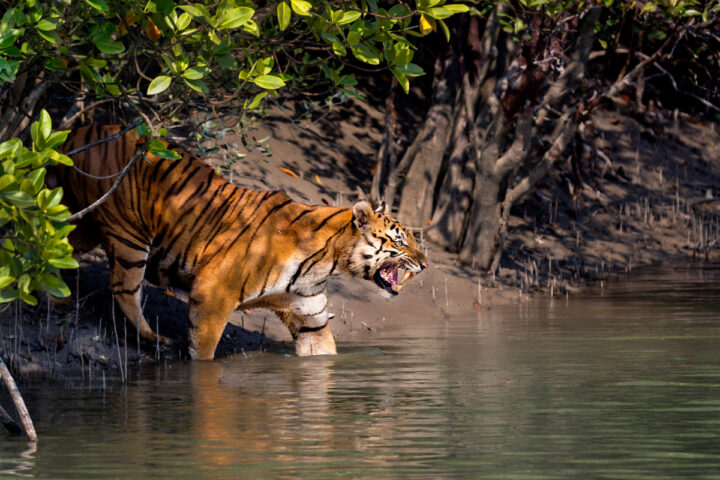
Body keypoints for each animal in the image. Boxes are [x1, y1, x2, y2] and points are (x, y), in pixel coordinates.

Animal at [54, 125, 428, 358]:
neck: (326, 262)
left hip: (83, 223)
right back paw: (154, 338)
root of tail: (80, 131)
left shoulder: (311, 316)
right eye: (400, 241)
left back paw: (56, 298)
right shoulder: (213, 293)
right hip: (129, 236)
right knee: (123, 290)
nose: (425, 264)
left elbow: (322, 355)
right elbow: (204, 350)